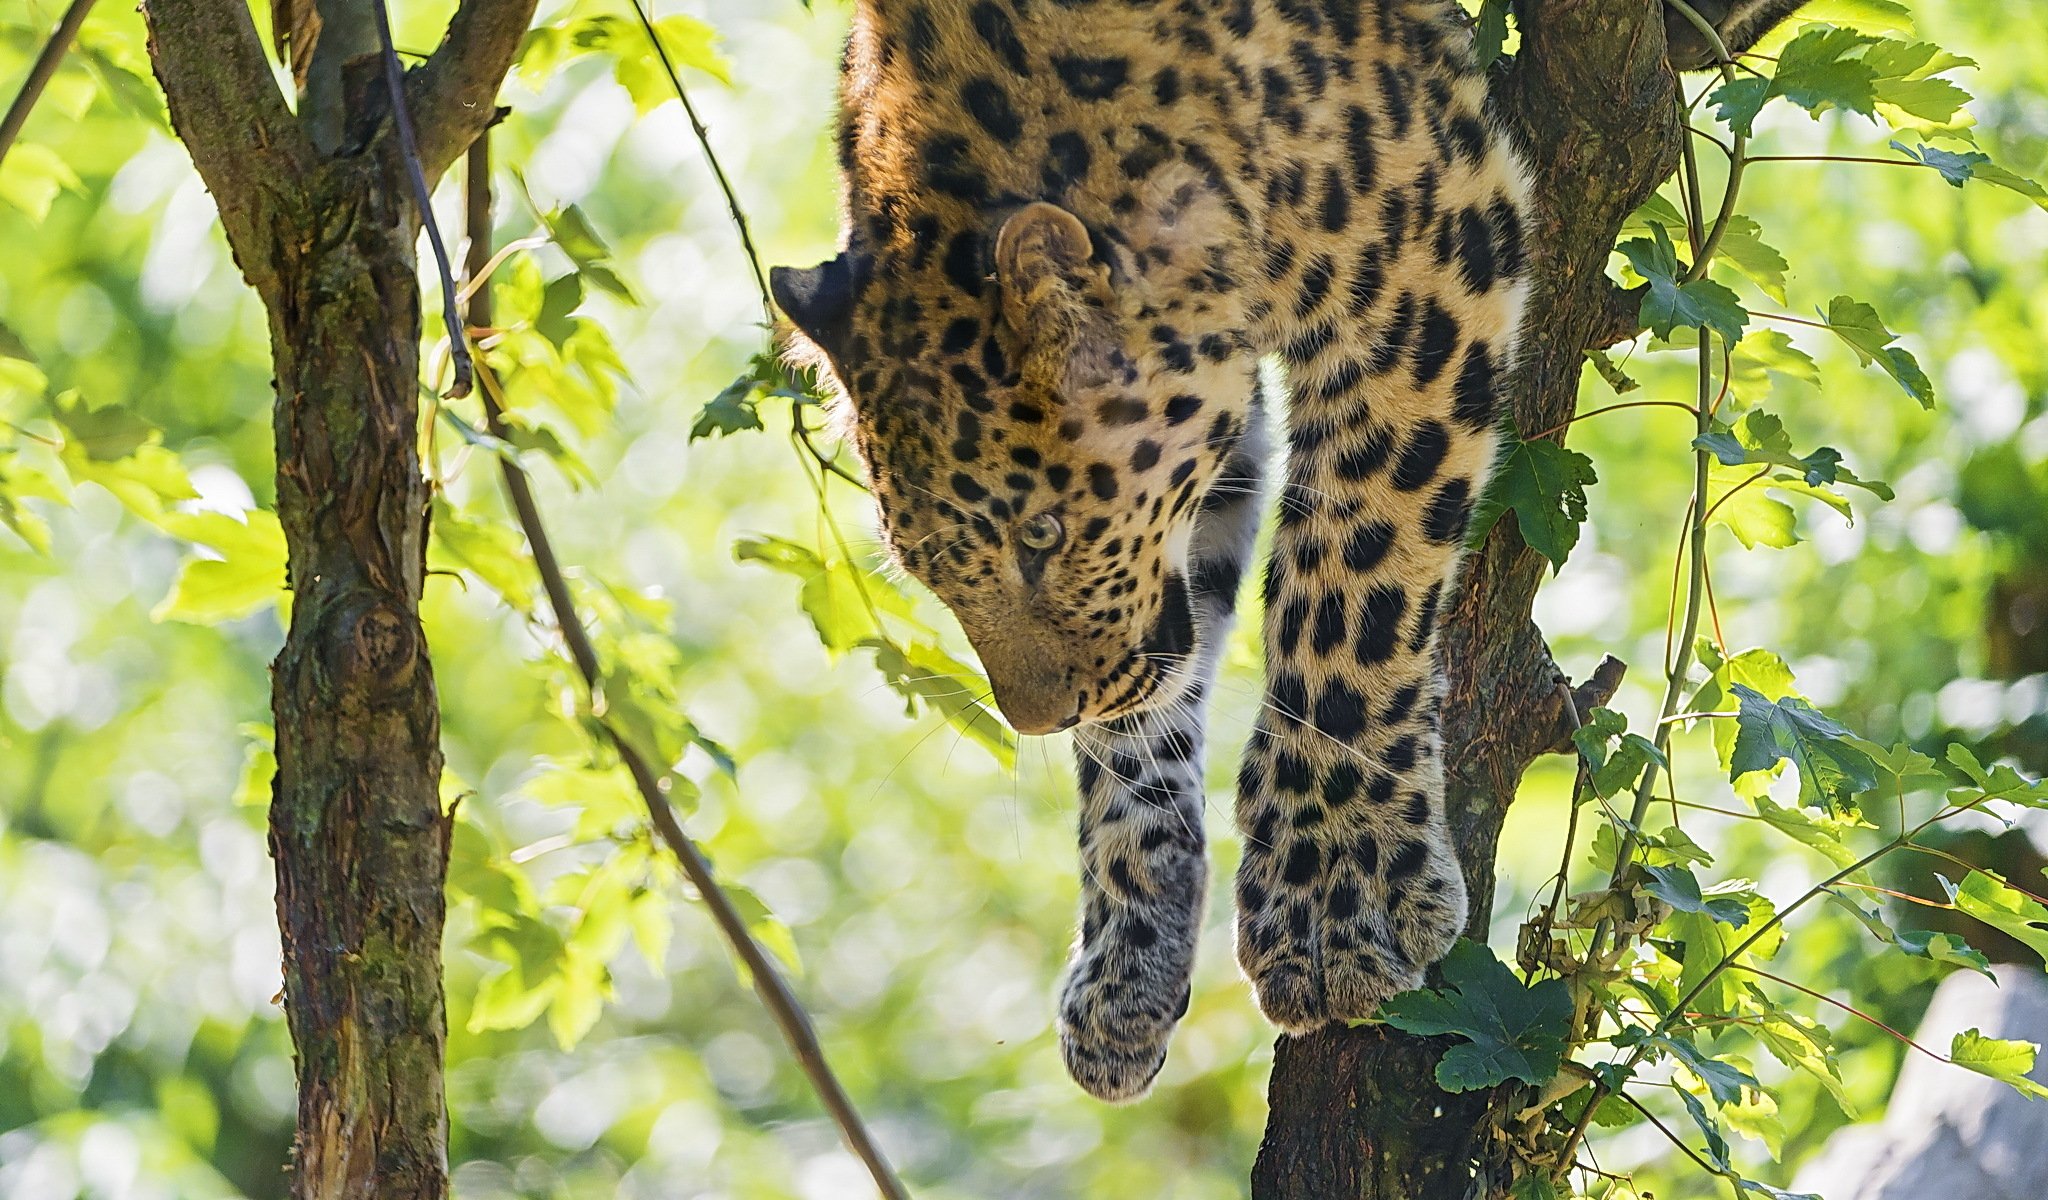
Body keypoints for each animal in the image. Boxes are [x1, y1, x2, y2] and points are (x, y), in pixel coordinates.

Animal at [774, 2, 1531, 1105]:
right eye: (926, 574)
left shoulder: (1427, 260)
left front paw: (1328, 906)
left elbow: (1352, 585)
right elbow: (1143, 716)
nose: (1036, 720)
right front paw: (1126, 961)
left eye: (1039, 536)